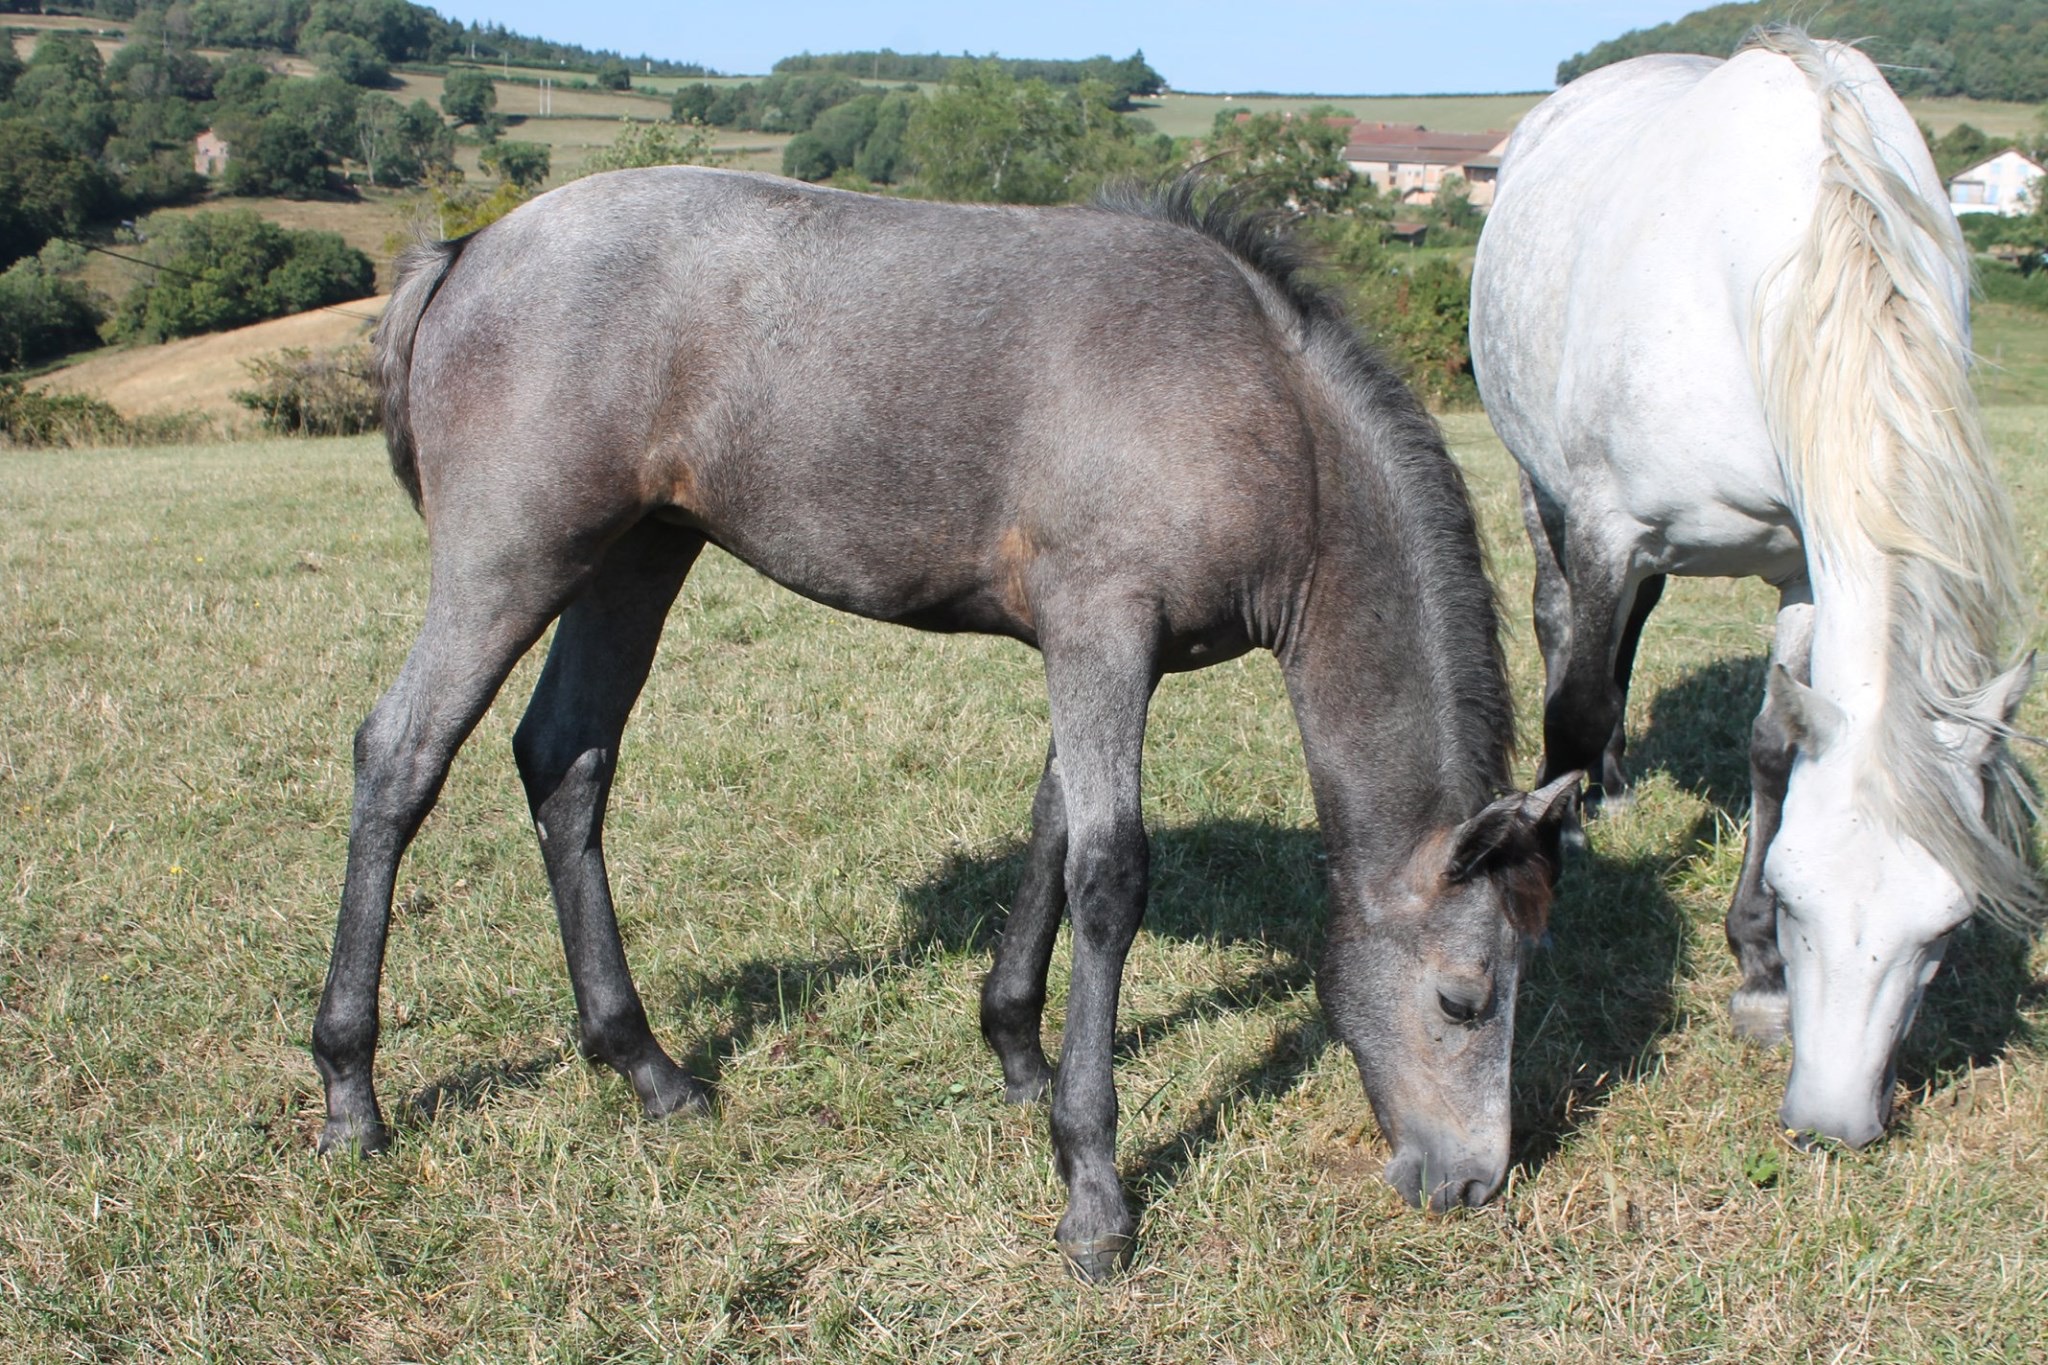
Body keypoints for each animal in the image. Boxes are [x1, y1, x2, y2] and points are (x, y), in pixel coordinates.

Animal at [313, 168, 1577, 1279]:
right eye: (1463, 997)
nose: (1473, 1182)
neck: (1261, 410)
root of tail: (469, 248)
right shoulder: (1101, 627)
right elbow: (1108, 877)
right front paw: (1093, 1191)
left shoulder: (1107, 654)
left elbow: (1053, 835)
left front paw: (1015, 1049)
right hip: (509, 563)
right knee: (400, 759)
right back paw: (350, 1094)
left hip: (636, 556)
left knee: (565, 762)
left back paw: (647, 1069)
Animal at [1470, 27, 2036, 1148]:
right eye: (1800, 893)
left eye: (1946, 928)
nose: (1831, 1121)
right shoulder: (1608, 523)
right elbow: (1575, 698)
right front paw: (1550, 881)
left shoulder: (1803, 558)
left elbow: (1775, 746)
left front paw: (1756, 971)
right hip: (1540, 486)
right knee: (1563, 629)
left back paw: (1609, 781)